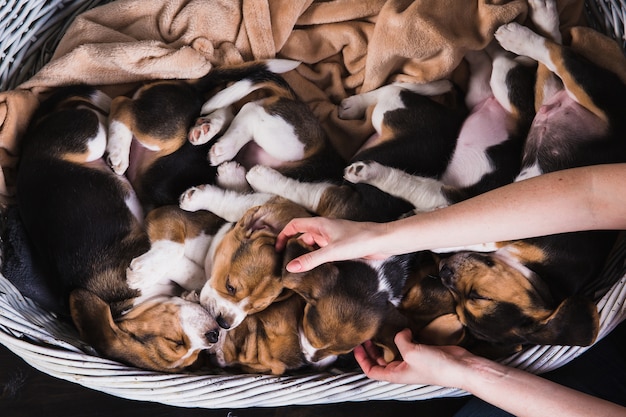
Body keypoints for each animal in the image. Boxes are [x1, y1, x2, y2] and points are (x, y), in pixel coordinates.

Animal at [15, 86, 221, 372]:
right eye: (175, 343)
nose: (214, 336)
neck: (124, 306)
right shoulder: (144, 239)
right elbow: (178, 259)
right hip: (93, 139)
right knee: (118, 106)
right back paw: (119, 149)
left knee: (119, 106)